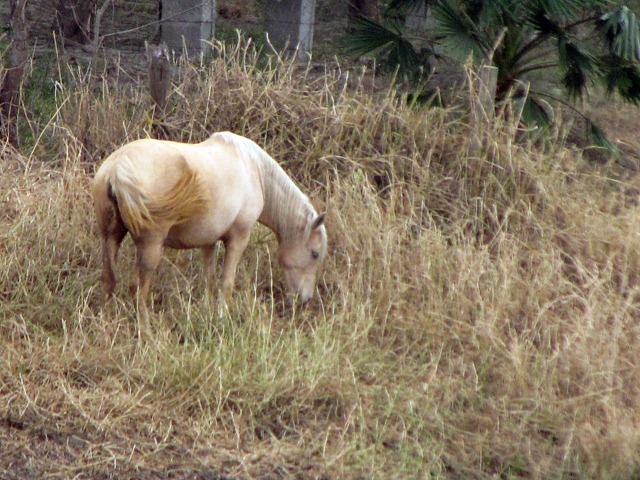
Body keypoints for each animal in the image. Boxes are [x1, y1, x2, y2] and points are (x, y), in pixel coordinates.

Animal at [92, 131, 328, 334]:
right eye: (315, 254)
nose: (305, 299)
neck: (253, 168)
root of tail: (118, 167)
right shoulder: (238, 238)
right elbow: (226, 283)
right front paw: (222, 319)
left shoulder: (208, 241)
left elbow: (210, 280)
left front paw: (208, 313)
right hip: (151, 247)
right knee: (138, 288)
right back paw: (146, 333)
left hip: (111, 238)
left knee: (109, 280)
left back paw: (107, 323)